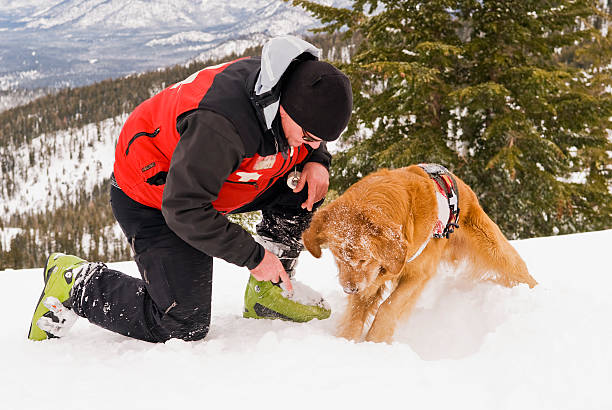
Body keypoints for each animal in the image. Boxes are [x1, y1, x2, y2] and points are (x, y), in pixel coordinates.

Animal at [304, 163, 536, 342]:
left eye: (363, 259)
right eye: (337, 257)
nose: (349, 289)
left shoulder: (418, 273)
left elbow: (388, 307)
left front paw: (375, 341)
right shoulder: (369, 280)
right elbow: (355, 316)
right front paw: (347, 343)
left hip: (493, 249)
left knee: (518, 268)